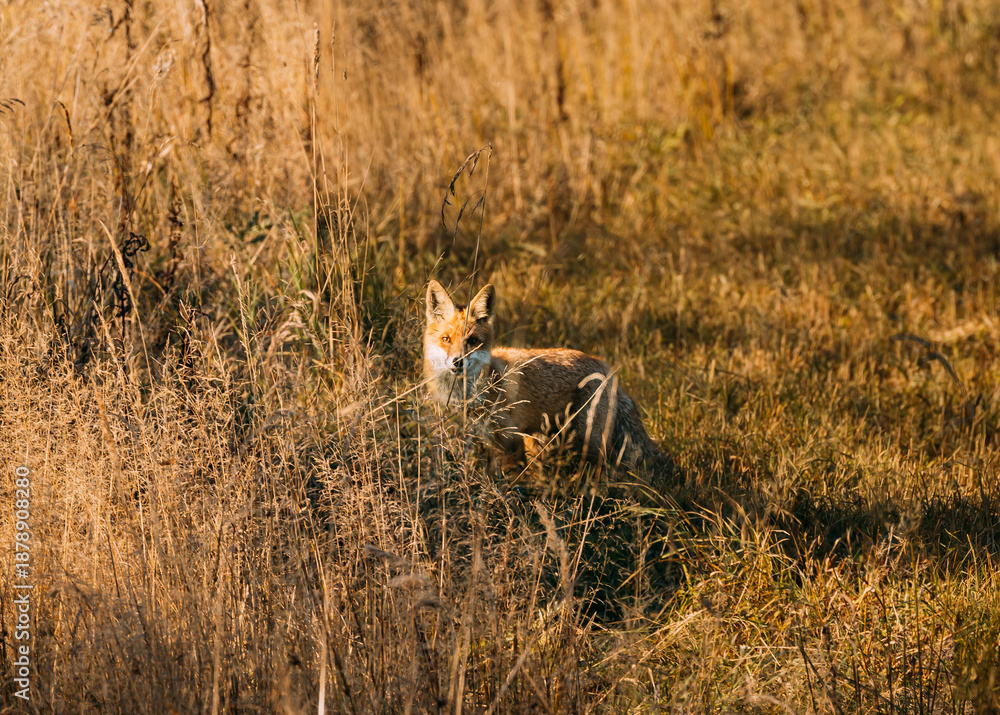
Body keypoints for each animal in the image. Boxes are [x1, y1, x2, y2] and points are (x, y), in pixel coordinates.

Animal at [423, 279, 675, 485]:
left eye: (473, 341)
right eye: (446, 339)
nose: (458, 362)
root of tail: (606, 369)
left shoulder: (510, 440)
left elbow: (510, 479)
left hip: (589, 443)